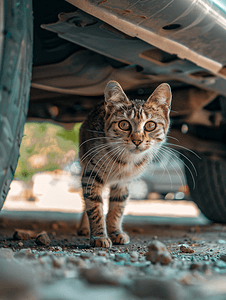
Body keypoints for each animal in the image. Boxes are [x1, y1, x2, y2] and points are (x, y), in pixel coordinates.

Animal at [77, 81, 171, 247]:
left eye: (150, 125)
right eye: (124, 124)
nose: (137, 140)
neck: (125, 160)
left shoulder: (124, 181)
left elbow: (117, 207)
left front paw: (115, 232)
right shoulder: (91, 174)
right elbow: (94, 206)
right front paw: (99, 236)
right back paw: (84, 227)